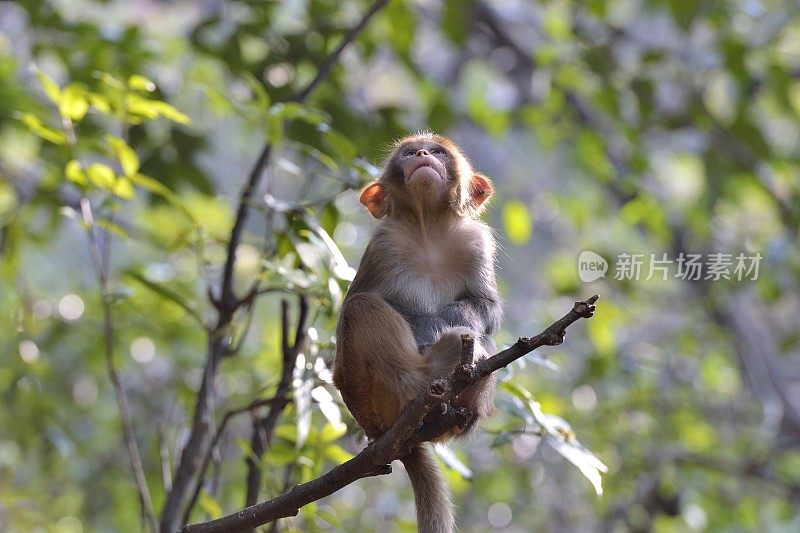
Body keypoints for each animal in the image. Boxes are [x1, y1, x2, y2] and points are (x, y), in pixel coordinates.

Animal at [332, 132, 500, 532]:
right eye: (409, 153)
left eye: (438, 151)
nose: (422, 153)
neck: (429, 231)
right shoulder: (384, 246)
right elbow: (363, 300)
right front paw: (431, 329)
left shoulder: (477, 243)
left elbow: (485, 307)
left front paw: (455, 318)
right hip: (370, 394)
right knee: (361, 308)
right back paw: (429, 374)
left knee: (482, 341)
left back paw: (458, 402)